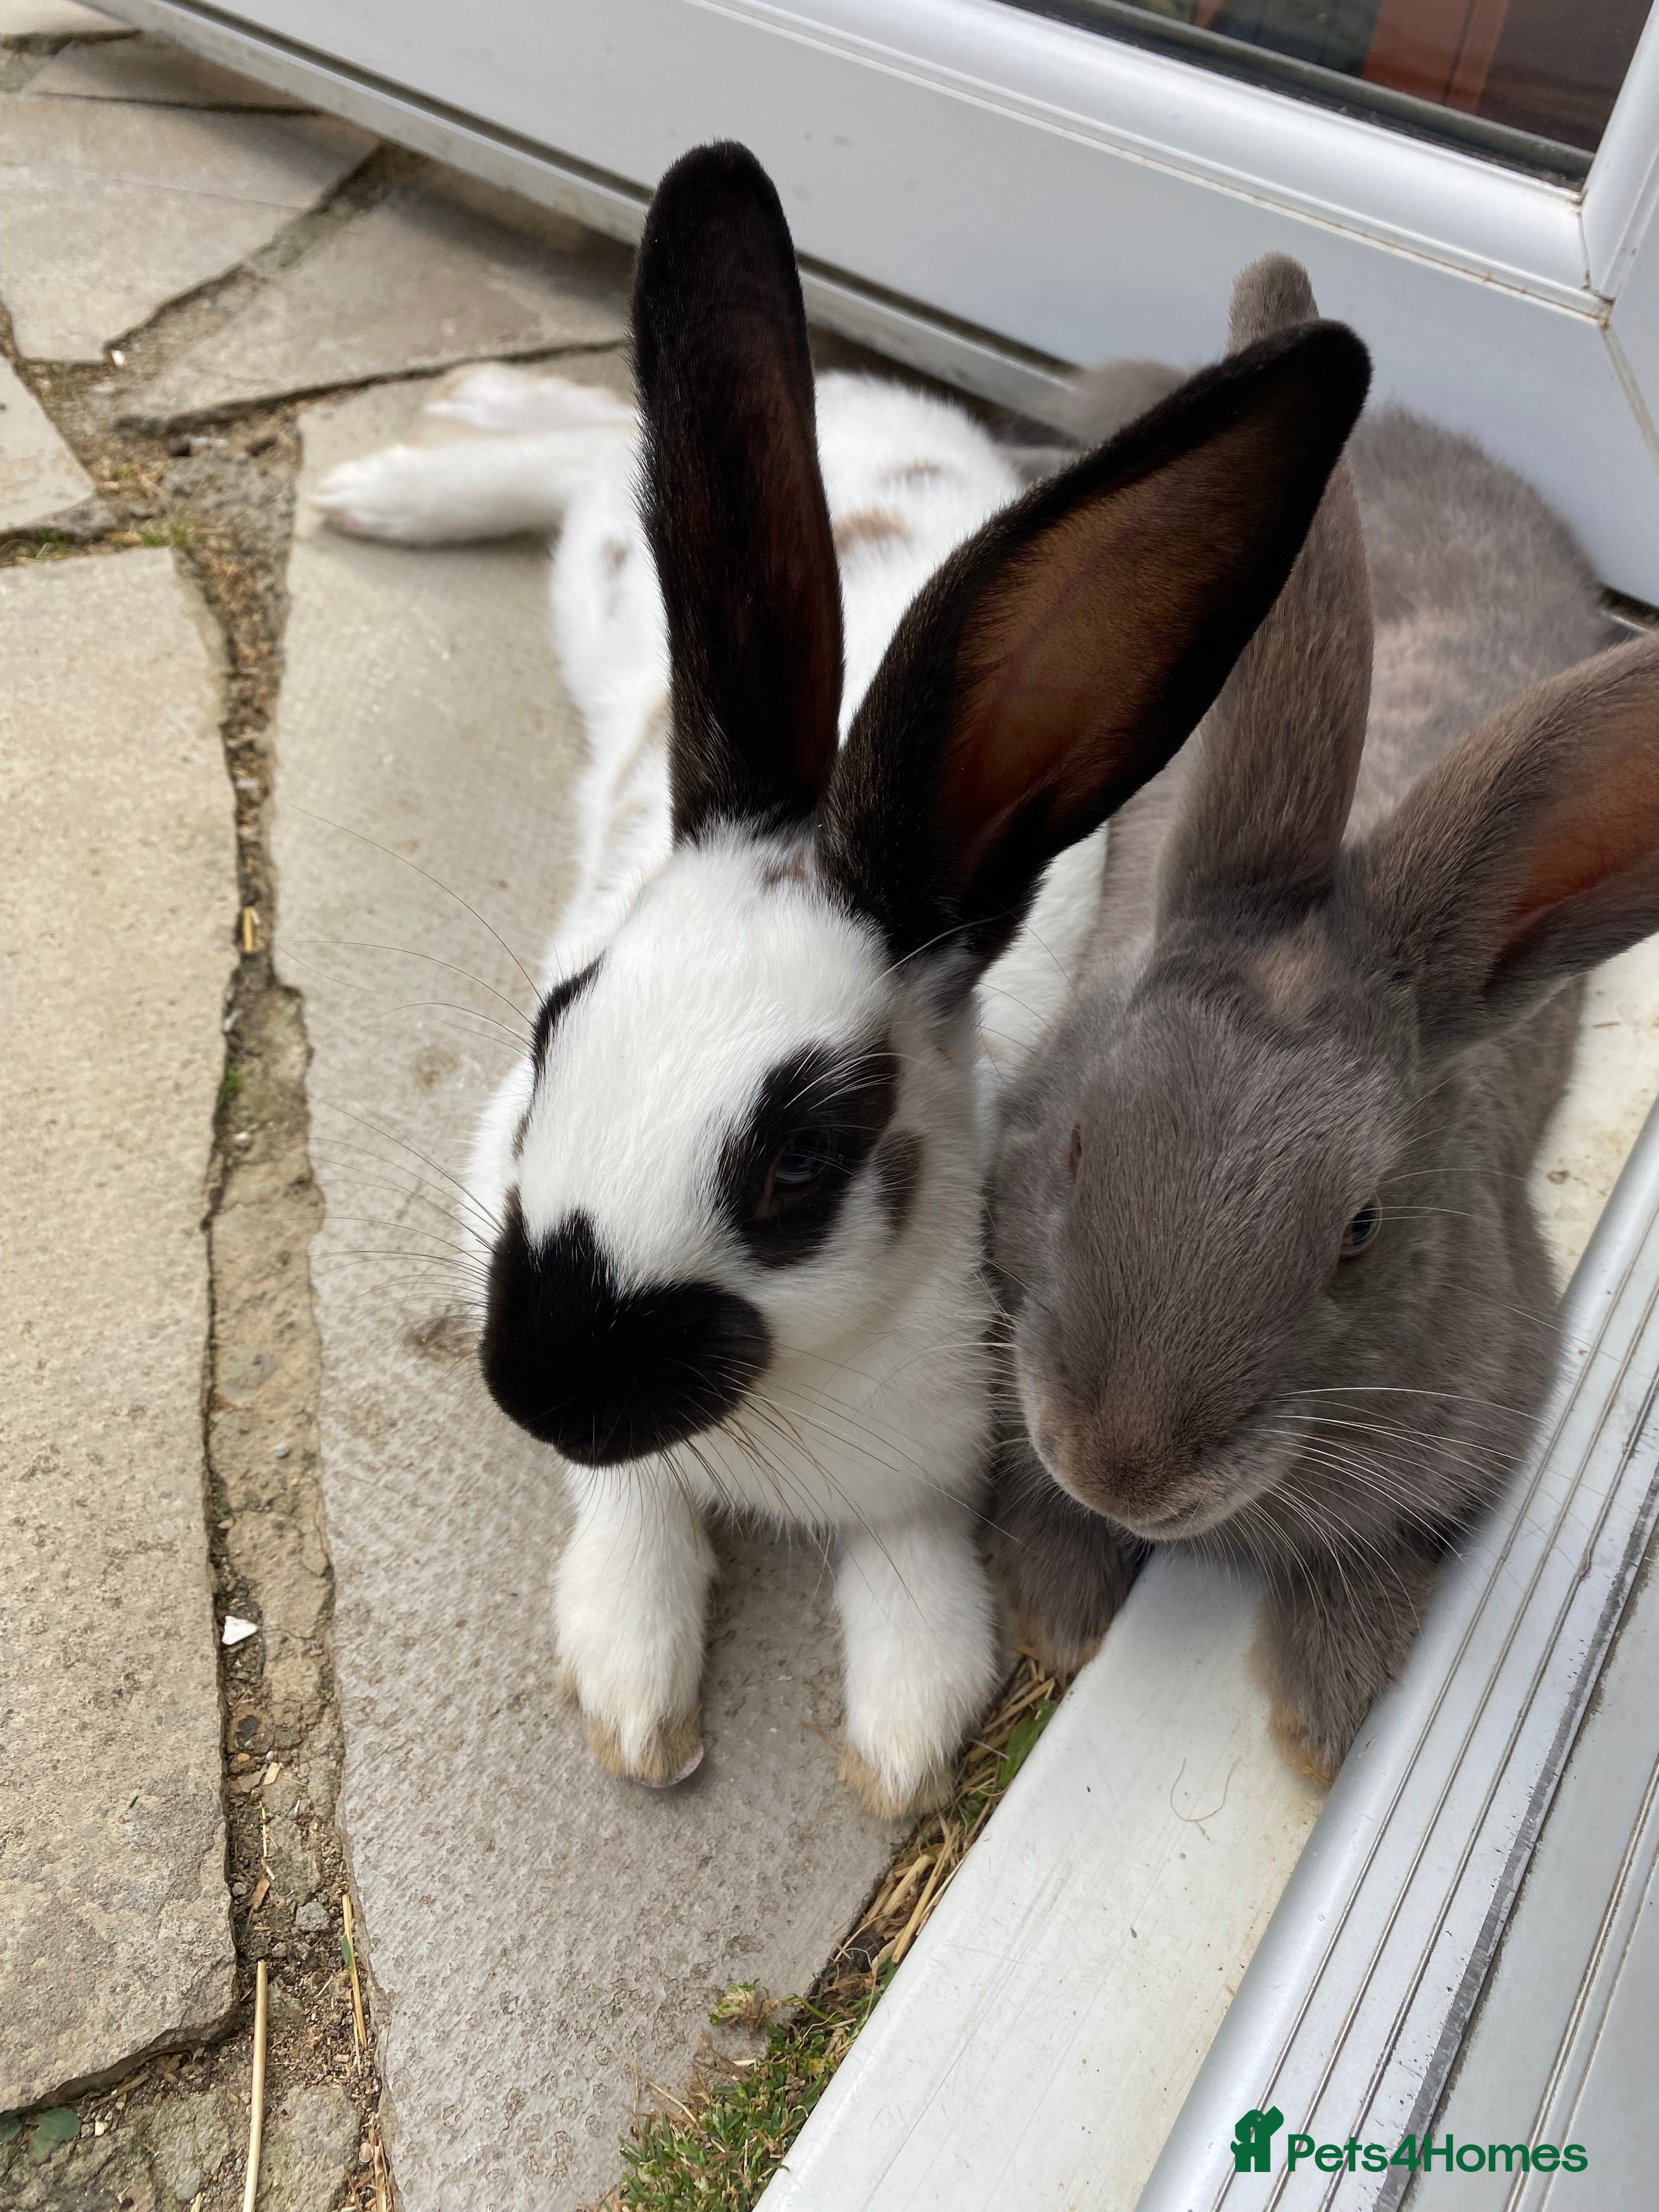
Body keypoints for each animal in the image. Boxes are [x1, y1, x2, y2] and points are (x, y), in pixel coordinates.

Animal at [312, 143, 1369, 1816]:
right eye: (555, 1031)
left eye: (801, 1165)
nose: (538, 1388)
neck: (778, 1411)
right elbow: (628, 1515)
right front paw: (635, 1689)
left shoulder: (943, 1447)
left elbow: (912, 1571)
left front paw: (905, 1732)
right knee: (583, 454)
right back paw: (404, 473)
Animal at [989, 250, 1659, 1786]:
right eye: (1077, 1147)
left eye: (1361, 1230)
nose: (1123, 1464)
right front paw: (1059, 1609)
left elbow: (1372, 1562)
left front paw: (1338, 1718)